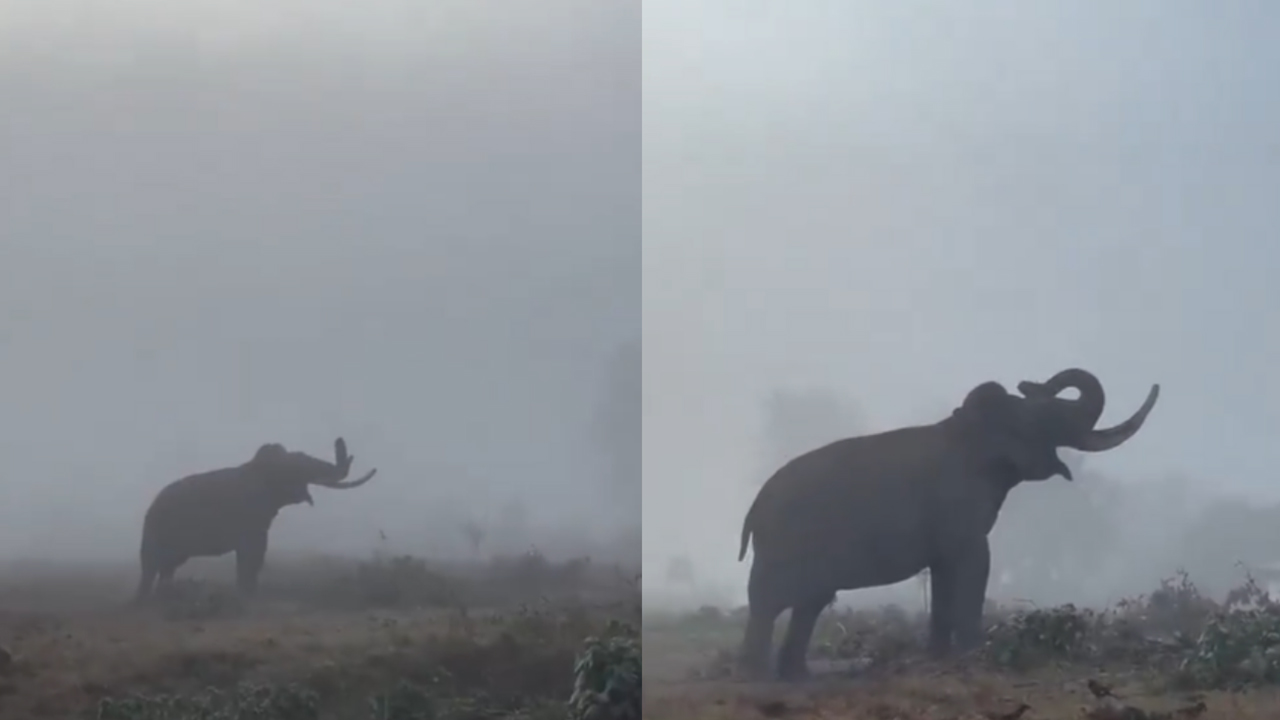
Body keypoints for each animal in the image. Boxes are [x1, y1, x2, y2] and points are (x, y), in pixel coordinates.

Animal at [135, 437, 376, 602]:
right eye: (299, 463)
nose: (339, 440)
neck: (261, 468)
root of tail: (150, 508)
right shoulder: (249, 516)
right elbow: (252, 553)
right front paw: (247, 596)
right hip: (156, 531)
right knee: (151, 566)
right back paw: (146, 601)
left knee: (167, 568)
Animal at [735, 369, 1159, 681]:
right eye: (1044, 415)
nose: (1029, 381)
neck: (968, 428)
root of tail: (753, 510)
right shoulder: (961, 510)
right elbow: (976, 562)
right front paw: (977, 655)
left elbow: (943, 574)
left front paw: (939, 658)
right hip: (784, 545)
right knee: (769, 602)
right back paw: (759, 677)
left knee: (808, 604)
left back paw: (796, 677)